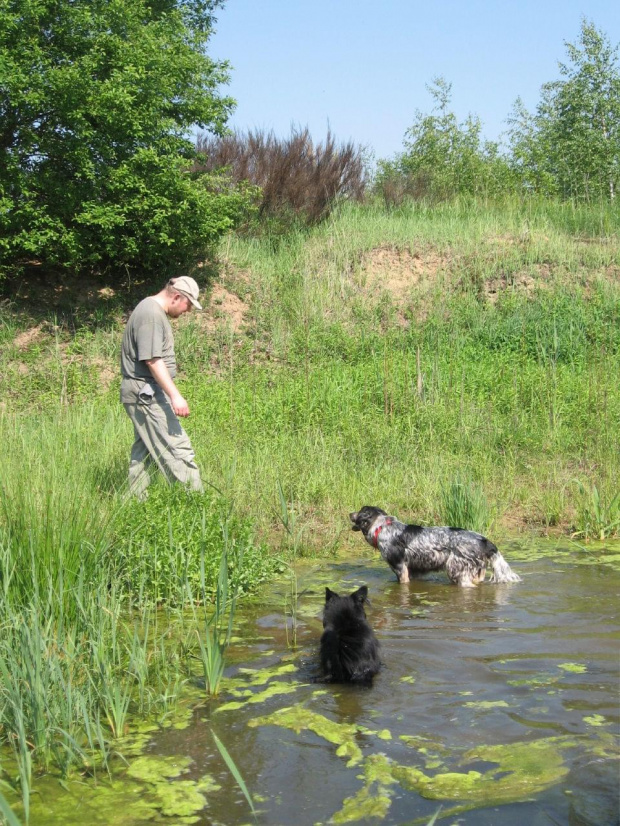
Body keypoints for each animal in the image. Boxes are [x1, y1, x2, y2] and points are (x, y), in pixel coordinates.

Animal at [352, 502, 520, 584]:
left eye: (359, 511)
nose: (349, 513)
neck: (382, 527)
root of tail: (485, 541)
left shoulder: (400, 569)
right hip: (478, 572)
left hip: (456, 569)